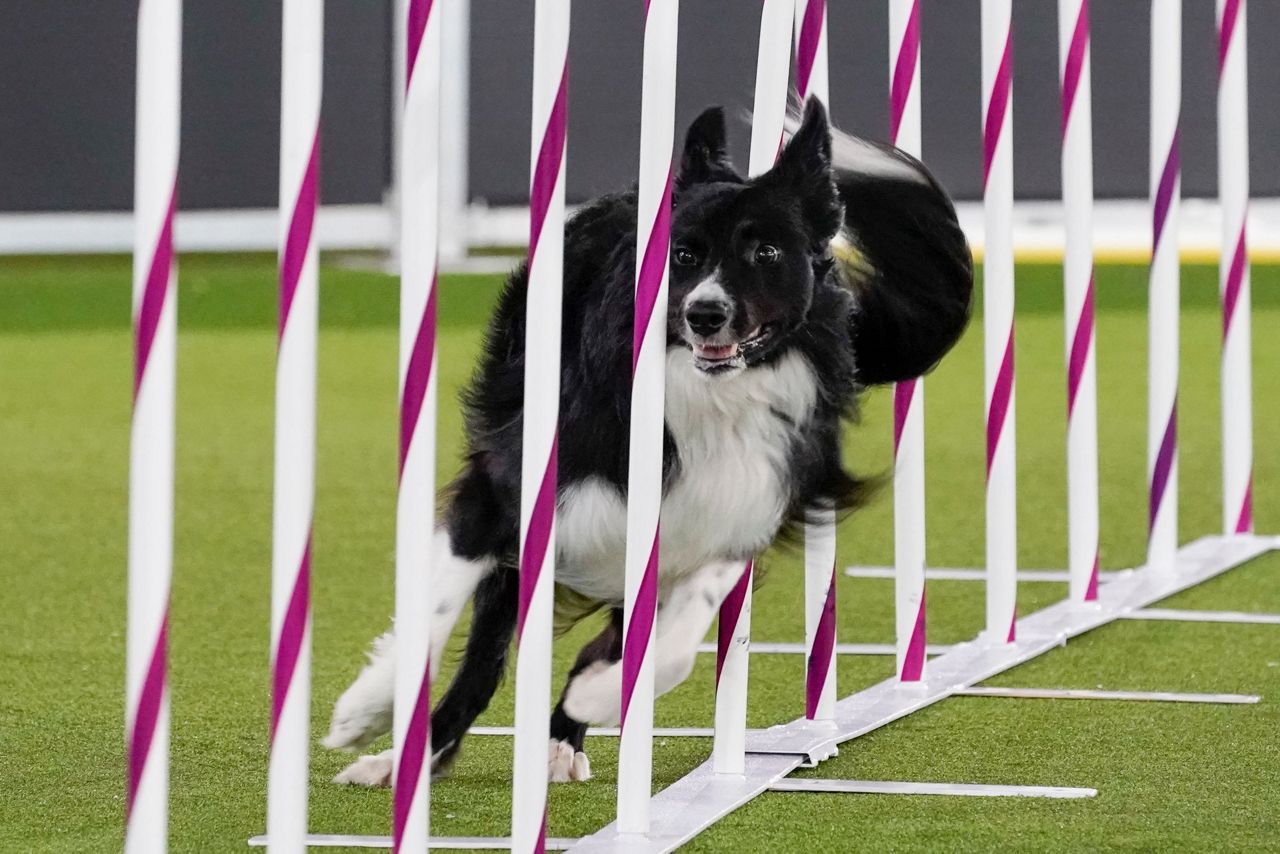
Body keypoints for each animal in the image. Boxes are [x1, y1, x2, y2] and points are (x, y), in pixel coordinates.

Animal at [320, 96, 967, 783]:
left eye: (766, 252)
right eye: (682, 255)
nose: (705, 314)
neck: (704, 397)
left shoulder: (736, 506)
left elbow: (674, 644)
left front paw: (599, 694)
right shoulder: (506, 484)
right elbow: (438, 606)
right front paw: (364, 710)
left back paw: (562, 732)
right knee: (484, 656)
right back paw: (402, 759)